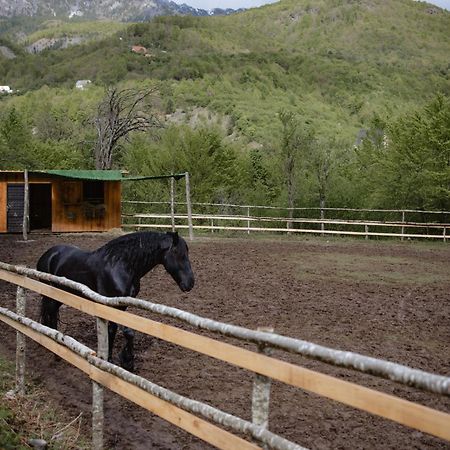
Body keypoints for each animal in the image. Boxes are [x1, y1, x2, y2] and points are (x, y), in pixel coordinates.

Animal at [36, 230, 194, 370]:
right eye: (179, 254)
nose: (190, 284)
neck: (120, 265)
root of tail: (48, 254)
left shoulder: (121, 305)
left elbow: (121, 331)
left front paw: (119, 360)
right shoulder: (109, 304)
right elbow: (117, 331)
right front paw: (122, 360)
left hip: (61, 294)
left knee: (52, 314)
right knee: (50, 314)